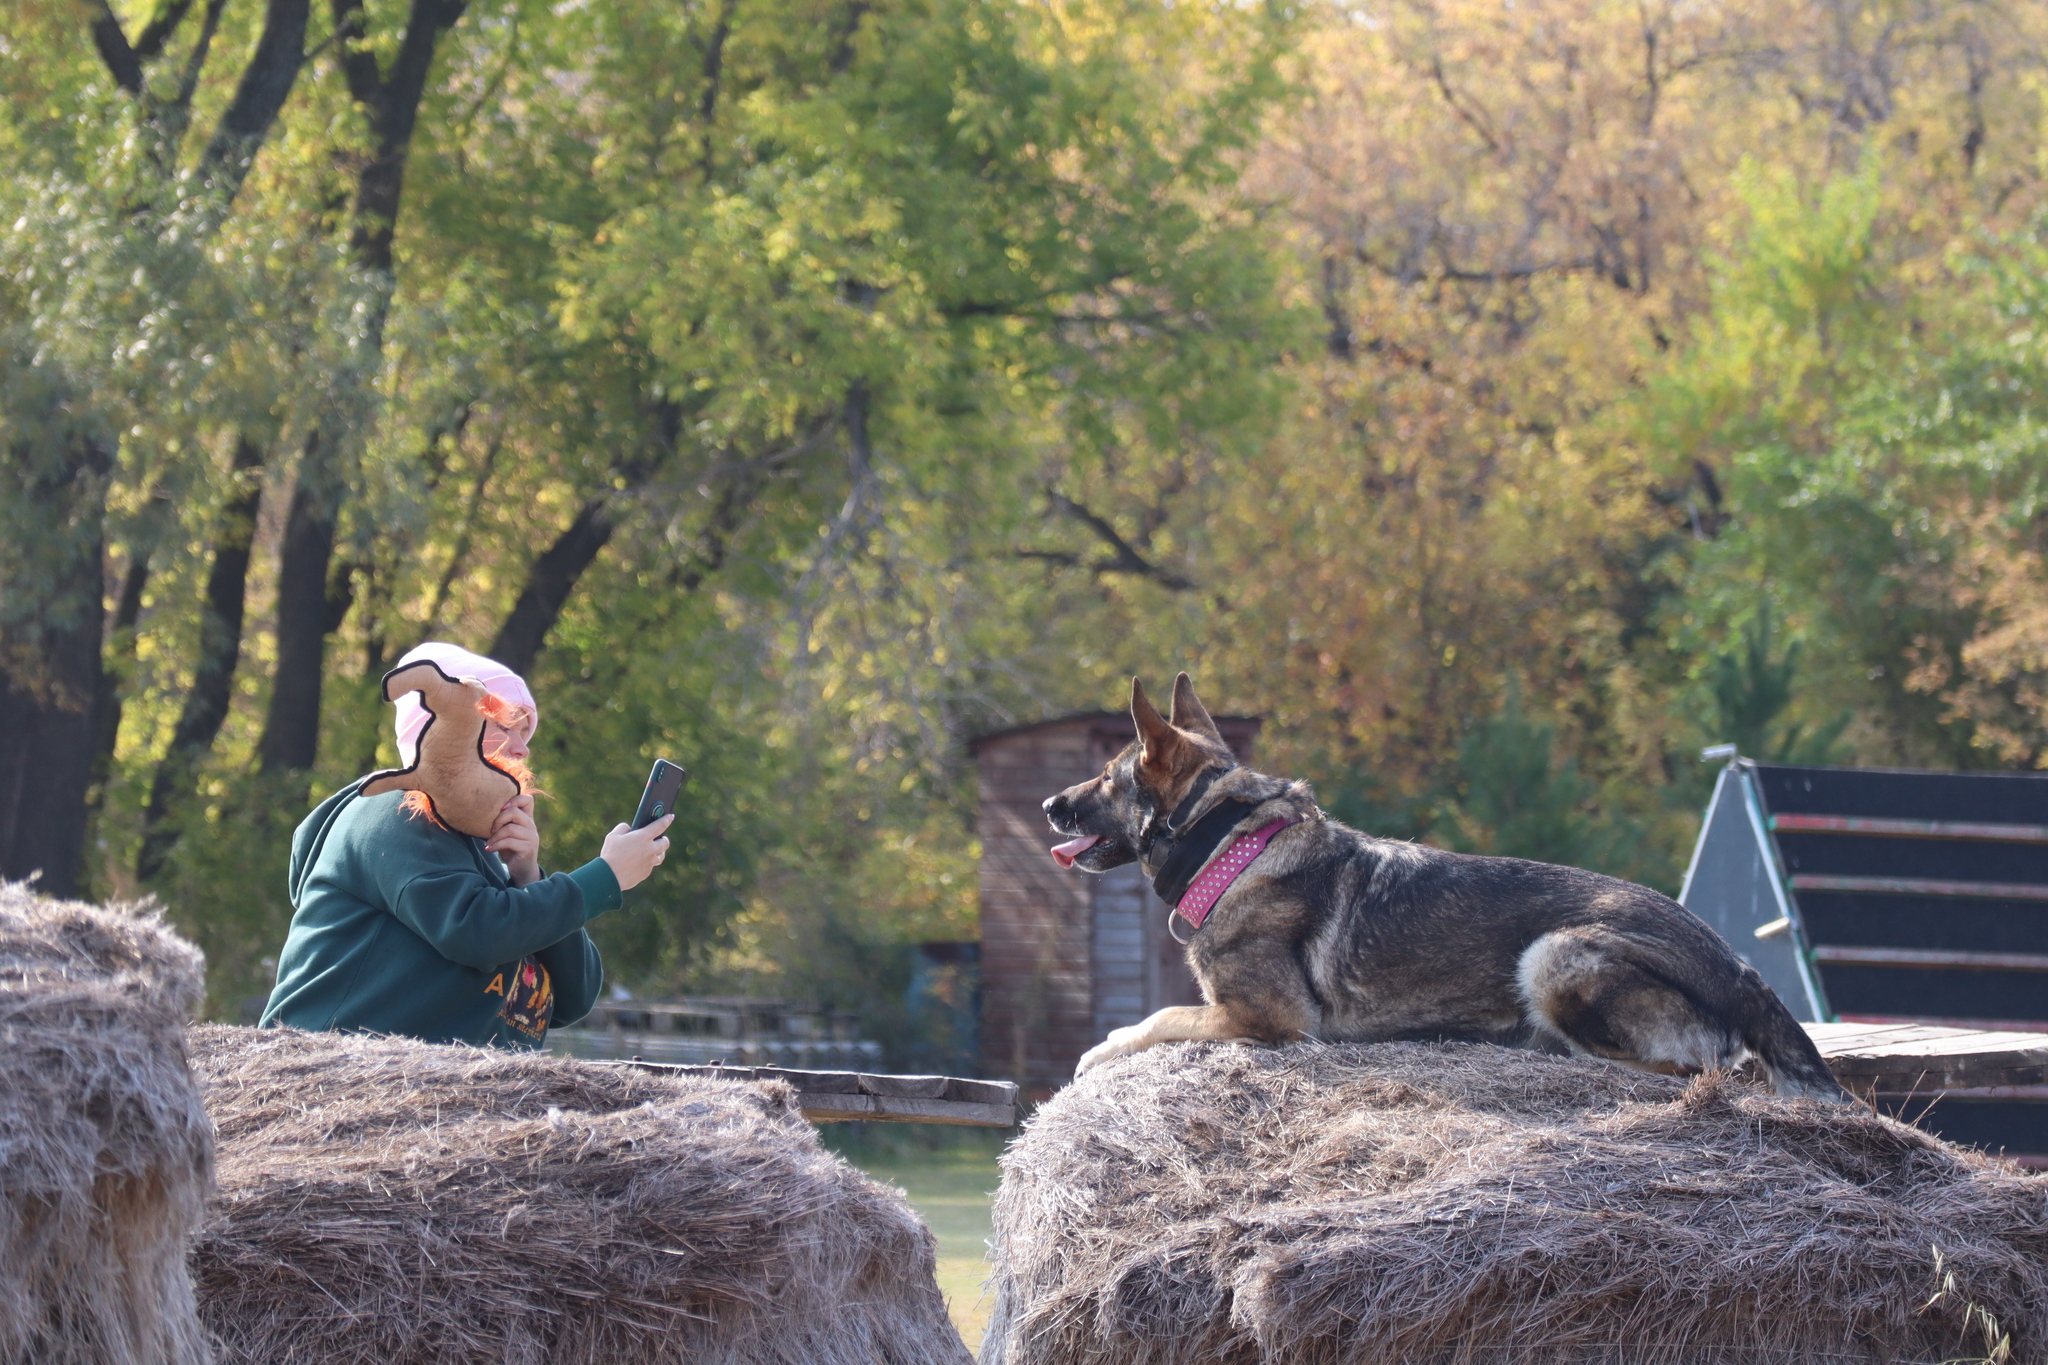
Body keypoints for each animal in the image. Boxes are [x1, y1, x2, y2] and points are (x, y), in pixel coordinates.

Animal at [1048, 671, 1851, 1096]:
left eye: (1108, 777)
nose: (1052, 805)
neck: (1229, 841)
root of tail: (1737, 967)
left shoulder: (1268, 1019)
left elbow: (1155, 1019)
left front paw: (1095, 1054)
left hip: (1554, 954)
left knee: (1685, 1069)